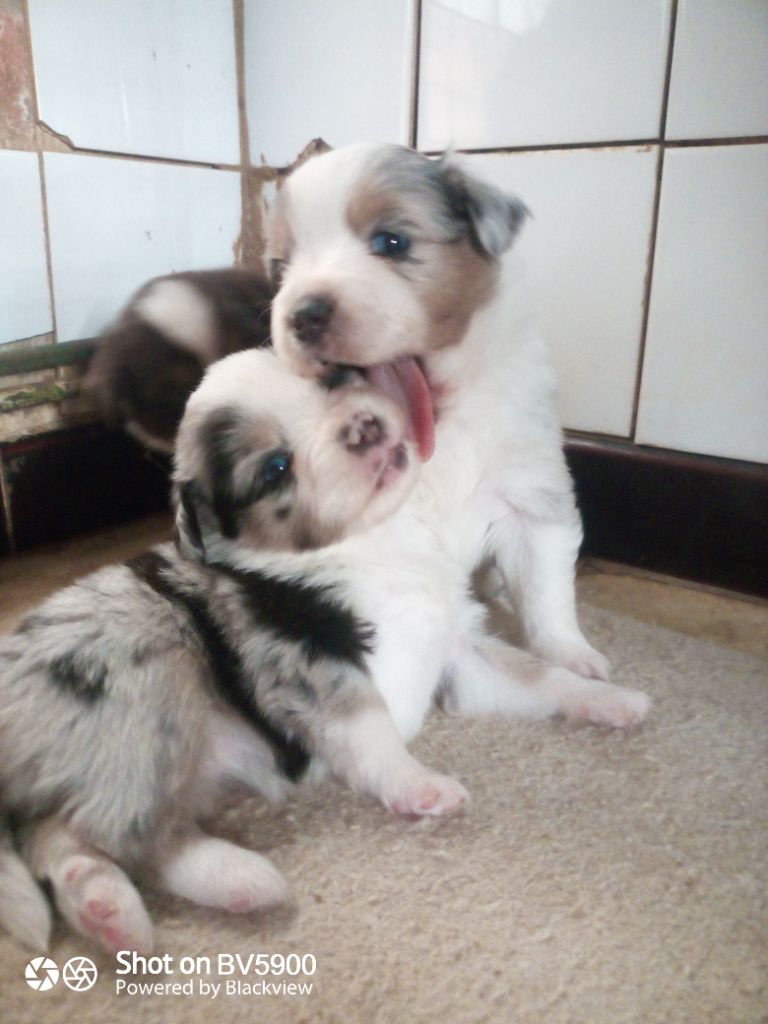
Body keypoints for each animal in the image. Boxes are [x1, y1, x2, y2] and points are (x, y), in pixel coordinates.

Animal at [0, 348, 466, 954]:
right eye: (276, 469)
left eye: (333, 379)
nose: (363, 427)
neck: (372, 542)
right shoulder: (308, 660)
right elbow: (373, 731)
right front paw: (421, 786)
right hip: (153, 678)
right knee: (134, 836)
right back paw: (234, 878)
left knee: (56, 832)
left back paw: (103, 904)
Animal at [264, 140, 651, 745]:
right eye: (279, 269)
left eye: (392, 242)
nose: (301, 315)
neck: (438, 432)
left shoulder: (531, 494)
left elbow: (546, 593)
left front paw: (573, 656)